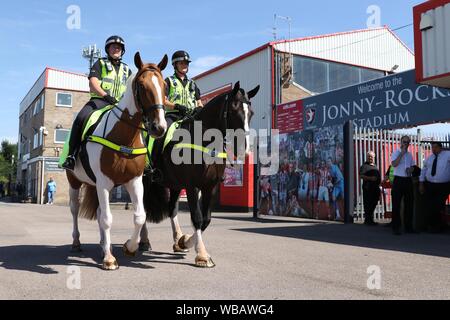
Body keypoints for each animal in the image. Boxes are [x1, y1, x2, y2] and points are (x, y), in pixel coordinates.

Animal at [67, 52, 170, 270]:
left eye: (164, 86)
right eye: (142, 86)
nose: (159, 127)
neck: (123, 137)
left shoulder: (134, 181)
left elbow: (140, 216)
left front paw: (129, 247)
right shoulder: (104, 183)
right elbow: (107, 219)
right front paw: (109, 259)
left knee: (99, 212)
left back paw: (102, 245)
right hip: (75, 181)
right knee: (75, 209)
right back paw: (77, 243)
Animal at [142, 82, 258, 268]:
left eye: (251, 113)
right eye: (234, 110)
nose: (244, 149)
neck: (204, 142)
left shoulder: (210, 187)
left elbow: (206, 220)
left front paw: (185, 241)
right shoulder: (192, 186)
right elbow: (197, 218)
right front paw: (202, 255)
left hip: (175, 185)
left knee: (172, 208)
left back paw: (177, 240)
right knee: (142, 208)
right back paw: (143, 241)